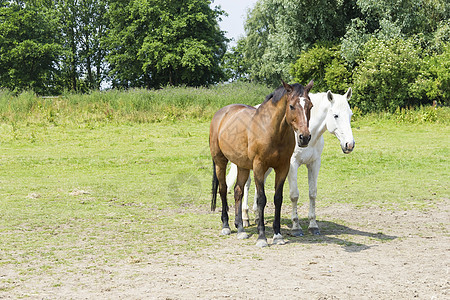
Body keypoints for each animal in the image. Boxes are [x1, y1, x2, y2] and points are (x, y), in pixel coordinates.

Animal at [210, 81, 312, 247]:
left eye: (310, 106)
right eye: (291, 106)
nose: (305, 137)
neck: (271, 129)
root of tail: (221, 113)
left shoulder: (282, 168)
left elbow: (278, 199)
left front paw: (278, 235)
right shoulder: (259, 167)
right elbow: (261, 199)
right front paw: (262, 237)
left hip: (242, 166)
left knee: (238, 191)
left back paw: (240, 228)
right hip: (220, 161)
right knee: (223, 189)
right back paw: (225, 226)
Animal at [225, 88, 356, 236]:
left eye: (350, 114)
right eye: (336, 115)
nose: (349, 144)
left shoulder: (314, 163)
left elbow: (312, 193)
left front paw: (313, 225)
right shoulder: (292, 164)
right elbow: (294, 195)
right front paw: (296, 227)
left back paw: (257, 216)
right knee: (246, 185)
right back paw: (245, 218)